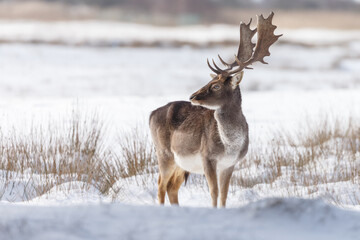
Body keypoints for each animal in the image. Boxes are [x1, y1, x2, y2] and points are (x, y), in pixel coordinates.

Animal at [149, 12, 282, 207]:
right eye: (210, 81)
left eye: (216, 85)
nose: (192, 96)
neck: (230, 146)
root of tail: (151, 114)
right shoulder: (207, 157)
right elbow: (214, 192)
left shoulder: (230, 164)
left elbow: (224, 194)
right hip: (164, 153)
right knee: (160, 185)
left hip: (181, 164)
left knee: (171, 187)